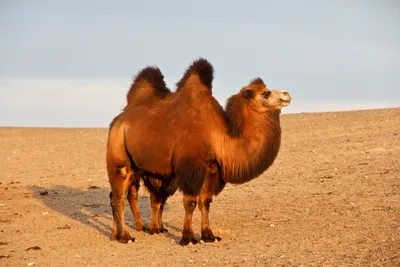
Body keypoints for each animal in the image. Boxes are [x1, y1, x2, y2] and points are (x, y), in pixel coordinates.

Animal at [108, 58, 292, 247]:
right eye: (266, 93)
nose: (286, 94)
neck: (218, 135)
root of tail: (117, 121)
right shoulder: (191, 168)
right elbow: (190, 203)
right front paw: (188, 238)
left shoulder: (212, 169)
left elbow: (205, 202)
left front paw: (209, 236)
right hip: (119, 157)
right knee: (119, 197)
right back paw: (126, 236)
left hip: (137, 167)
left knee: (123, 195)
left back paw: (117, 234)